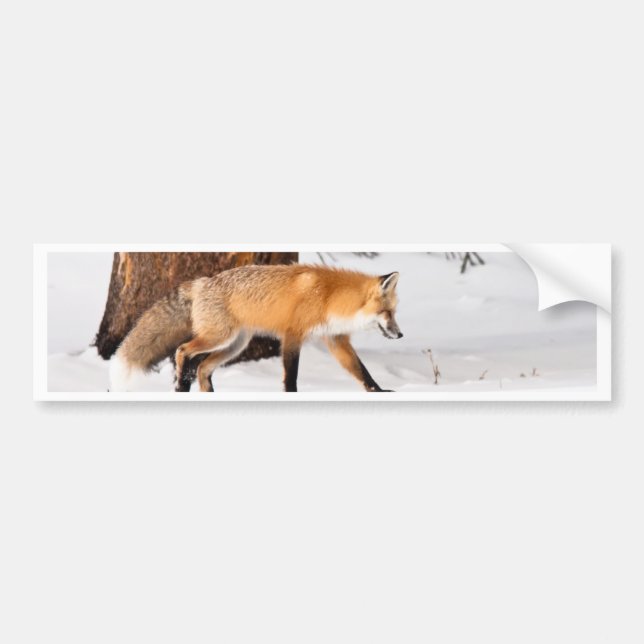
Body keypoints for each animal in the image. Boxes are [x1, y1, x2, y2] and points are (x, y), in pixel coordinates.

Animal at [109, 264, 403, 393]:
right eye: (387, 313)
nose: (400, 334)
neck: (330, 297)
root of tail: (202, 282)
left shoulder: (335, 339)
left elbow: (361, 371)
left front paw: (379, 391)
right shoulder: (293, 334)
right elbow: (291, 374)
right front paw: (291, 395)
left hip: (235, 346)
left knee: (203, 368)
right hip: (218, 337)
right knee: (183, 351)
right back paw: (181, 385)